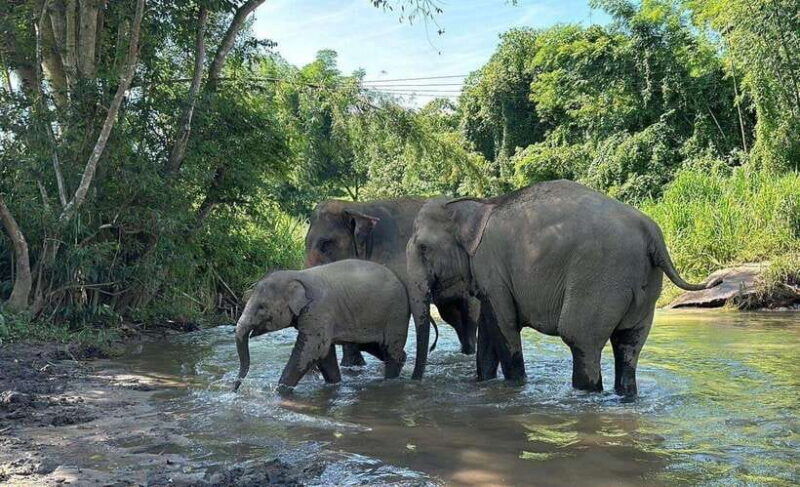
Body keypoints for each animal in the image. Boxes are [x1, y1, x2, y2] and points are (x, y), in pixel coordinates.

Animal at [233, 259, 410, 392]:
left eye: (261, 307)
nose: (235, 389)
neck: (297, 274)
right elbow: (324, 353)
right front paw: (334, 384)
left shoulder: (319, 310)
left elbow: (313, 350)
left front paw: (280, 391)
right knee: (373, 345)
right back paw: (402, 362)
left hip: (396, 314)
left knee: (390, 348)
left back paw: (390, 379)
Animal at [304, 198, 479, 367]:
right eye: (306, 243)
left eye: (325, 244)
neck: (358, 207)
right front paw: (353, 366)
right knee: (452, 315)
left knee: (469, 313)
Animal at [406, 180, 721, 398]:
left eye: (423, 248)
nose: (414, 381)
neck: (480, 204)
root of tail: (652, 234)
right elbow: (489, 328)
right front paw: (483, 383)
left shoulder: (491, 267)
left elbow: (504, 327)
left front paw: (516, 385)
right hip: (643, 291)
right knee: (628, 345)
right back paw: (626, 395)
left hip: (598, 279)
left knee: (580, 339)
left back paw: (585, 394)